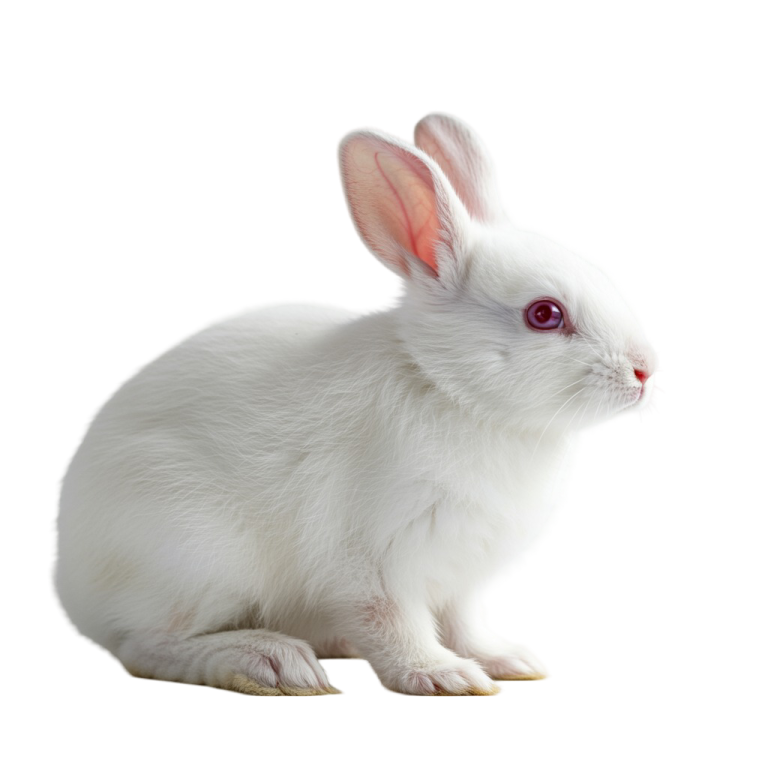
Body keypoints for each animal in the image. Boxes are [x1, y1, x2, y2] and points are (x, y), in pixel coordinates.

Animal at [49, 110, 661, 697]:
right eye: (544, 315)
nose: (644, 372)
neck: (445, 386)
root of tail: (70, 586)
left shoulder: (459, 579)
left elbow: (466, 625)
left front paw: (510, 661)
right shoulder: (375, 562)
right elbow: (394, 624)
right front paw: (444, 677)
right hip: (195, 552)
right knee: (146, 645)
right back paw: (271, 664)